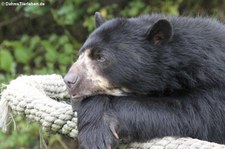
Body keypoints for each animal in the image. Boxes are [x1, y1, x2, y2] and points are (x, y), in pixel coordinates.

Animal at [64, 12, 225, 148]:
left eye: (101, 57)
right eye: (81, 54)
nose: (69, 81)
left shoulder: (214, 84)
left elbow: (192, 111)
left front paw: (97, 136)